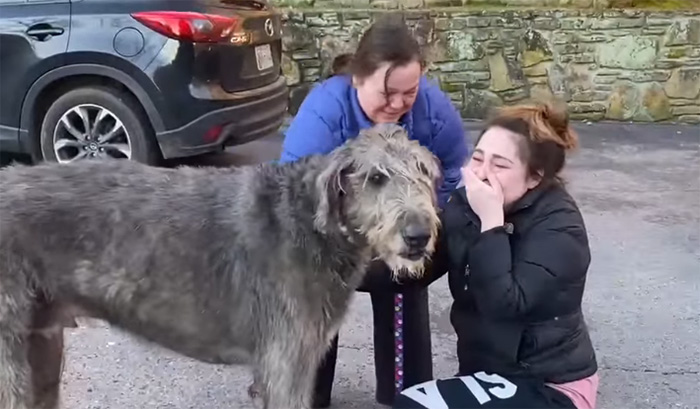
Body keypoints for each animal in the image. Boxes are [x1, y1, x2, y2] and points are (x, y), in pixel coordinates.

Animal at [0, 123, 442, 408]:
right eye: (376, 177)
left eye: (424, 172)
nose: (418, 236)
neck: (310, 223)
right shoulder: (285, 361)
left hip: (42, 343)